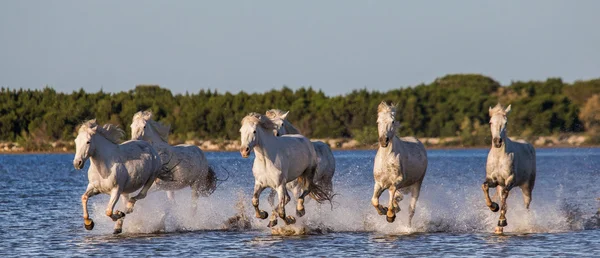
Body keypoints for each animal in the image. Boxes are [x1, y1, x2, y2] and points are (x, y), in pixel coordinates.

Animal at [480, 103, 536, 234]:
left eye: (506, 123)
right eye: (490, 122)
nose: (497, 142)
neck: (499, 156)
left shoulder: (510, 180)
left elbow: (505, 195)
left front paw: (502, 221)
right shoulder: (493, 180)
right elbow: (485, 186)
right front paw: (493, 207)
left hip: (527, 185)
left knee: (527, 204)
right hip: (500, 185)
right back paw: (498, 228)